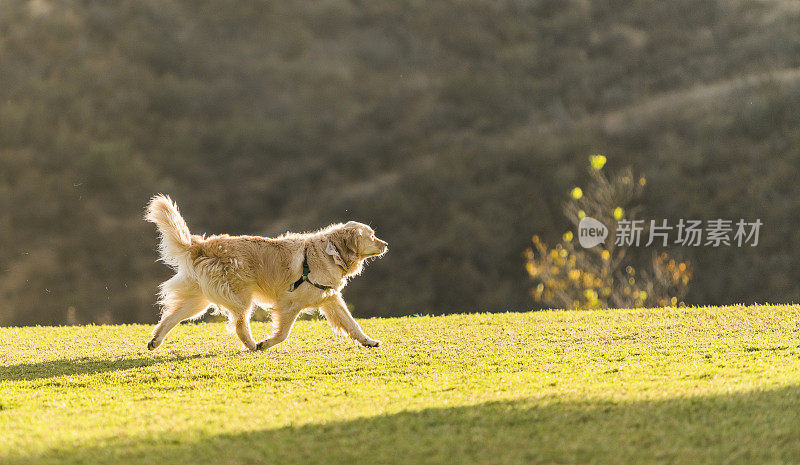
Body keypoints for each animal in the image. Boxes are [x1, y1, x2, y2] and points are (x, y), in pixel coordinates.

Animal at [144, 194, 388, 350]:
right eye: (372, 236)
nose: (386, 244)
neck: (329, 253)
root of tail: (201, 245)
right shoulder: (289, 303)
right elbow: (283, 333)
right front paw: (267, 343)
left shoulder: (330, 299)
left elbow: (352, 324)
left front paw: (368, 341)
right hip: (240, 296)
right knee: (240, 325)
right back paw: (253, 345)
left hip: (199, 299)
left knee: (170, 317)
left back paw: (155, 341)